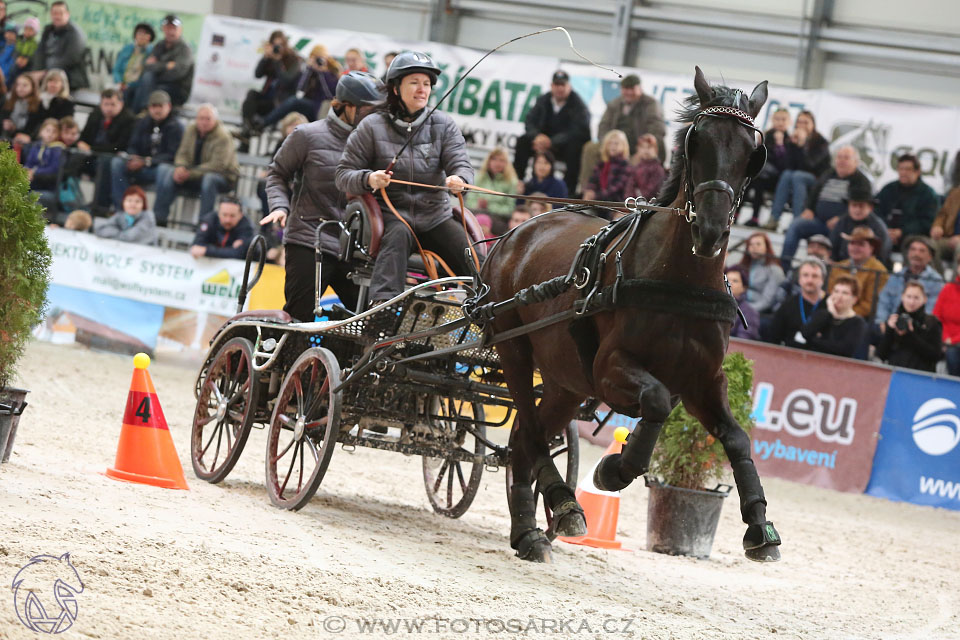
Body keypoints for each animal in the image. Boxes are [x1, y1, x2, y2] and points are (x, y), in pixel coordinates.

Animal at [484, 67, 784, 564]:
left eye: (752, 153)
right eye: (697, 141)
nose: (711, 231)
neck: (679, 281)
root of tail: (515, 233)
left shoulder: (703, 381)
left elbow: (736, 437)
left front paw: (760, 525)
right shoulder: (610, 370)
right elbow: (656, 403)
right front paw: (613, 470)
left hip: (566, 382)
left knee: (526, 439)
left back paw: (529, 532)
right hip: (514, 351)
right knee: (528, 432)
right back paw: (563, 504)